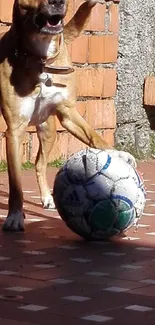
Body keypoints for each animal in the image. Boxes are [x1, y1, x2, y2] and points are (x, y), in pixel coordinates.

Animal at [0, 0, 136, 230]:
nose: (57, 2)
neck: (41, 61)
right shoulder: (15, 131)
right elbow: (16, 181)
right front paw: (15, 216)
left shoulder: (69, 114)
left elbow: (95, 136)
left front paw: (119, 155)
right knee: (38, 163)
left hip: (48, 130)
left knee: (40, 163)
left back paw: (47, 197)